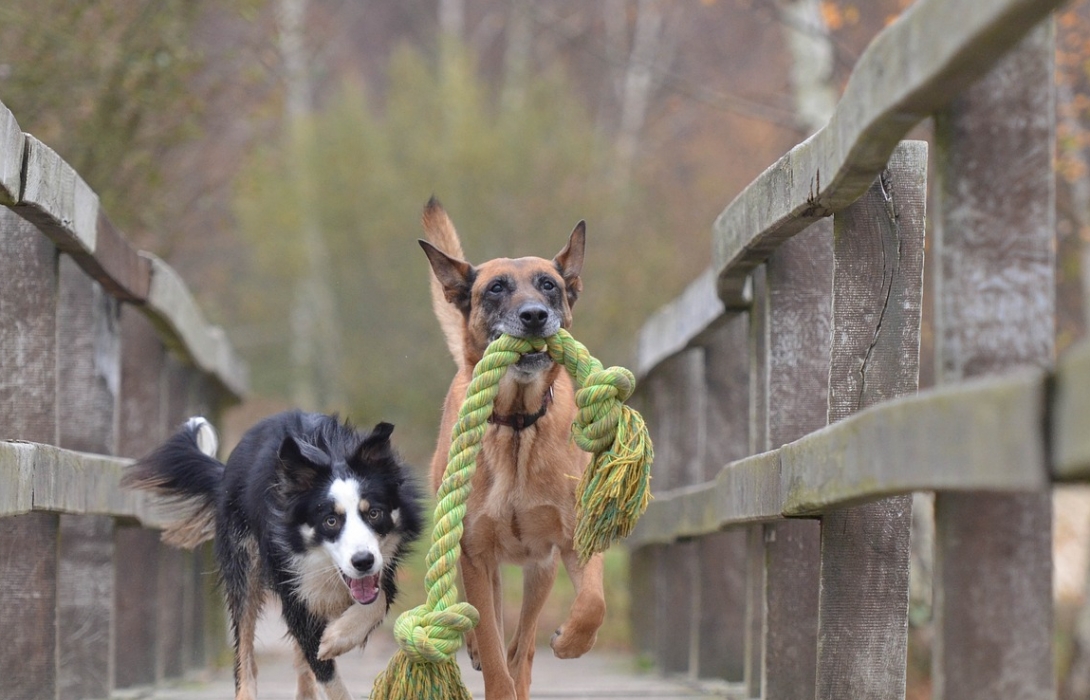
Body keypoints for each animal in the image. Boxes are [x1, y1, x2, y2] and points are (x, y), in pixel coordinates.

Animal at [122, 409, 420, 697]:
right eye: (330, 521)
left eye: (374, 513)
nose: (363, 562)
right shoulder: (291, 584)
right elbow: (324, 669)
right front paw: (331, 645)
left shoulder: (384, 565)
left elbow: (378, 599)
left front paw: (337, 637)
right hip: (243, 562)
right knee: (245, 649)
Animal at [416, 196, 606, 697]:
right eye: (497, 288)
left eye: (549, 285)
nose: (535, 315)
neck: (519, 425)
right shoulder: (476, 554)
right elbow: (492, 645)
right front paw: (489, 661)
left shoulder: (573, 540)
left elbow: (593, 602)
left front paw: (572, 642)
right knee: (491, 627)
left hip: (540, 570)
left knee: (523, 644)